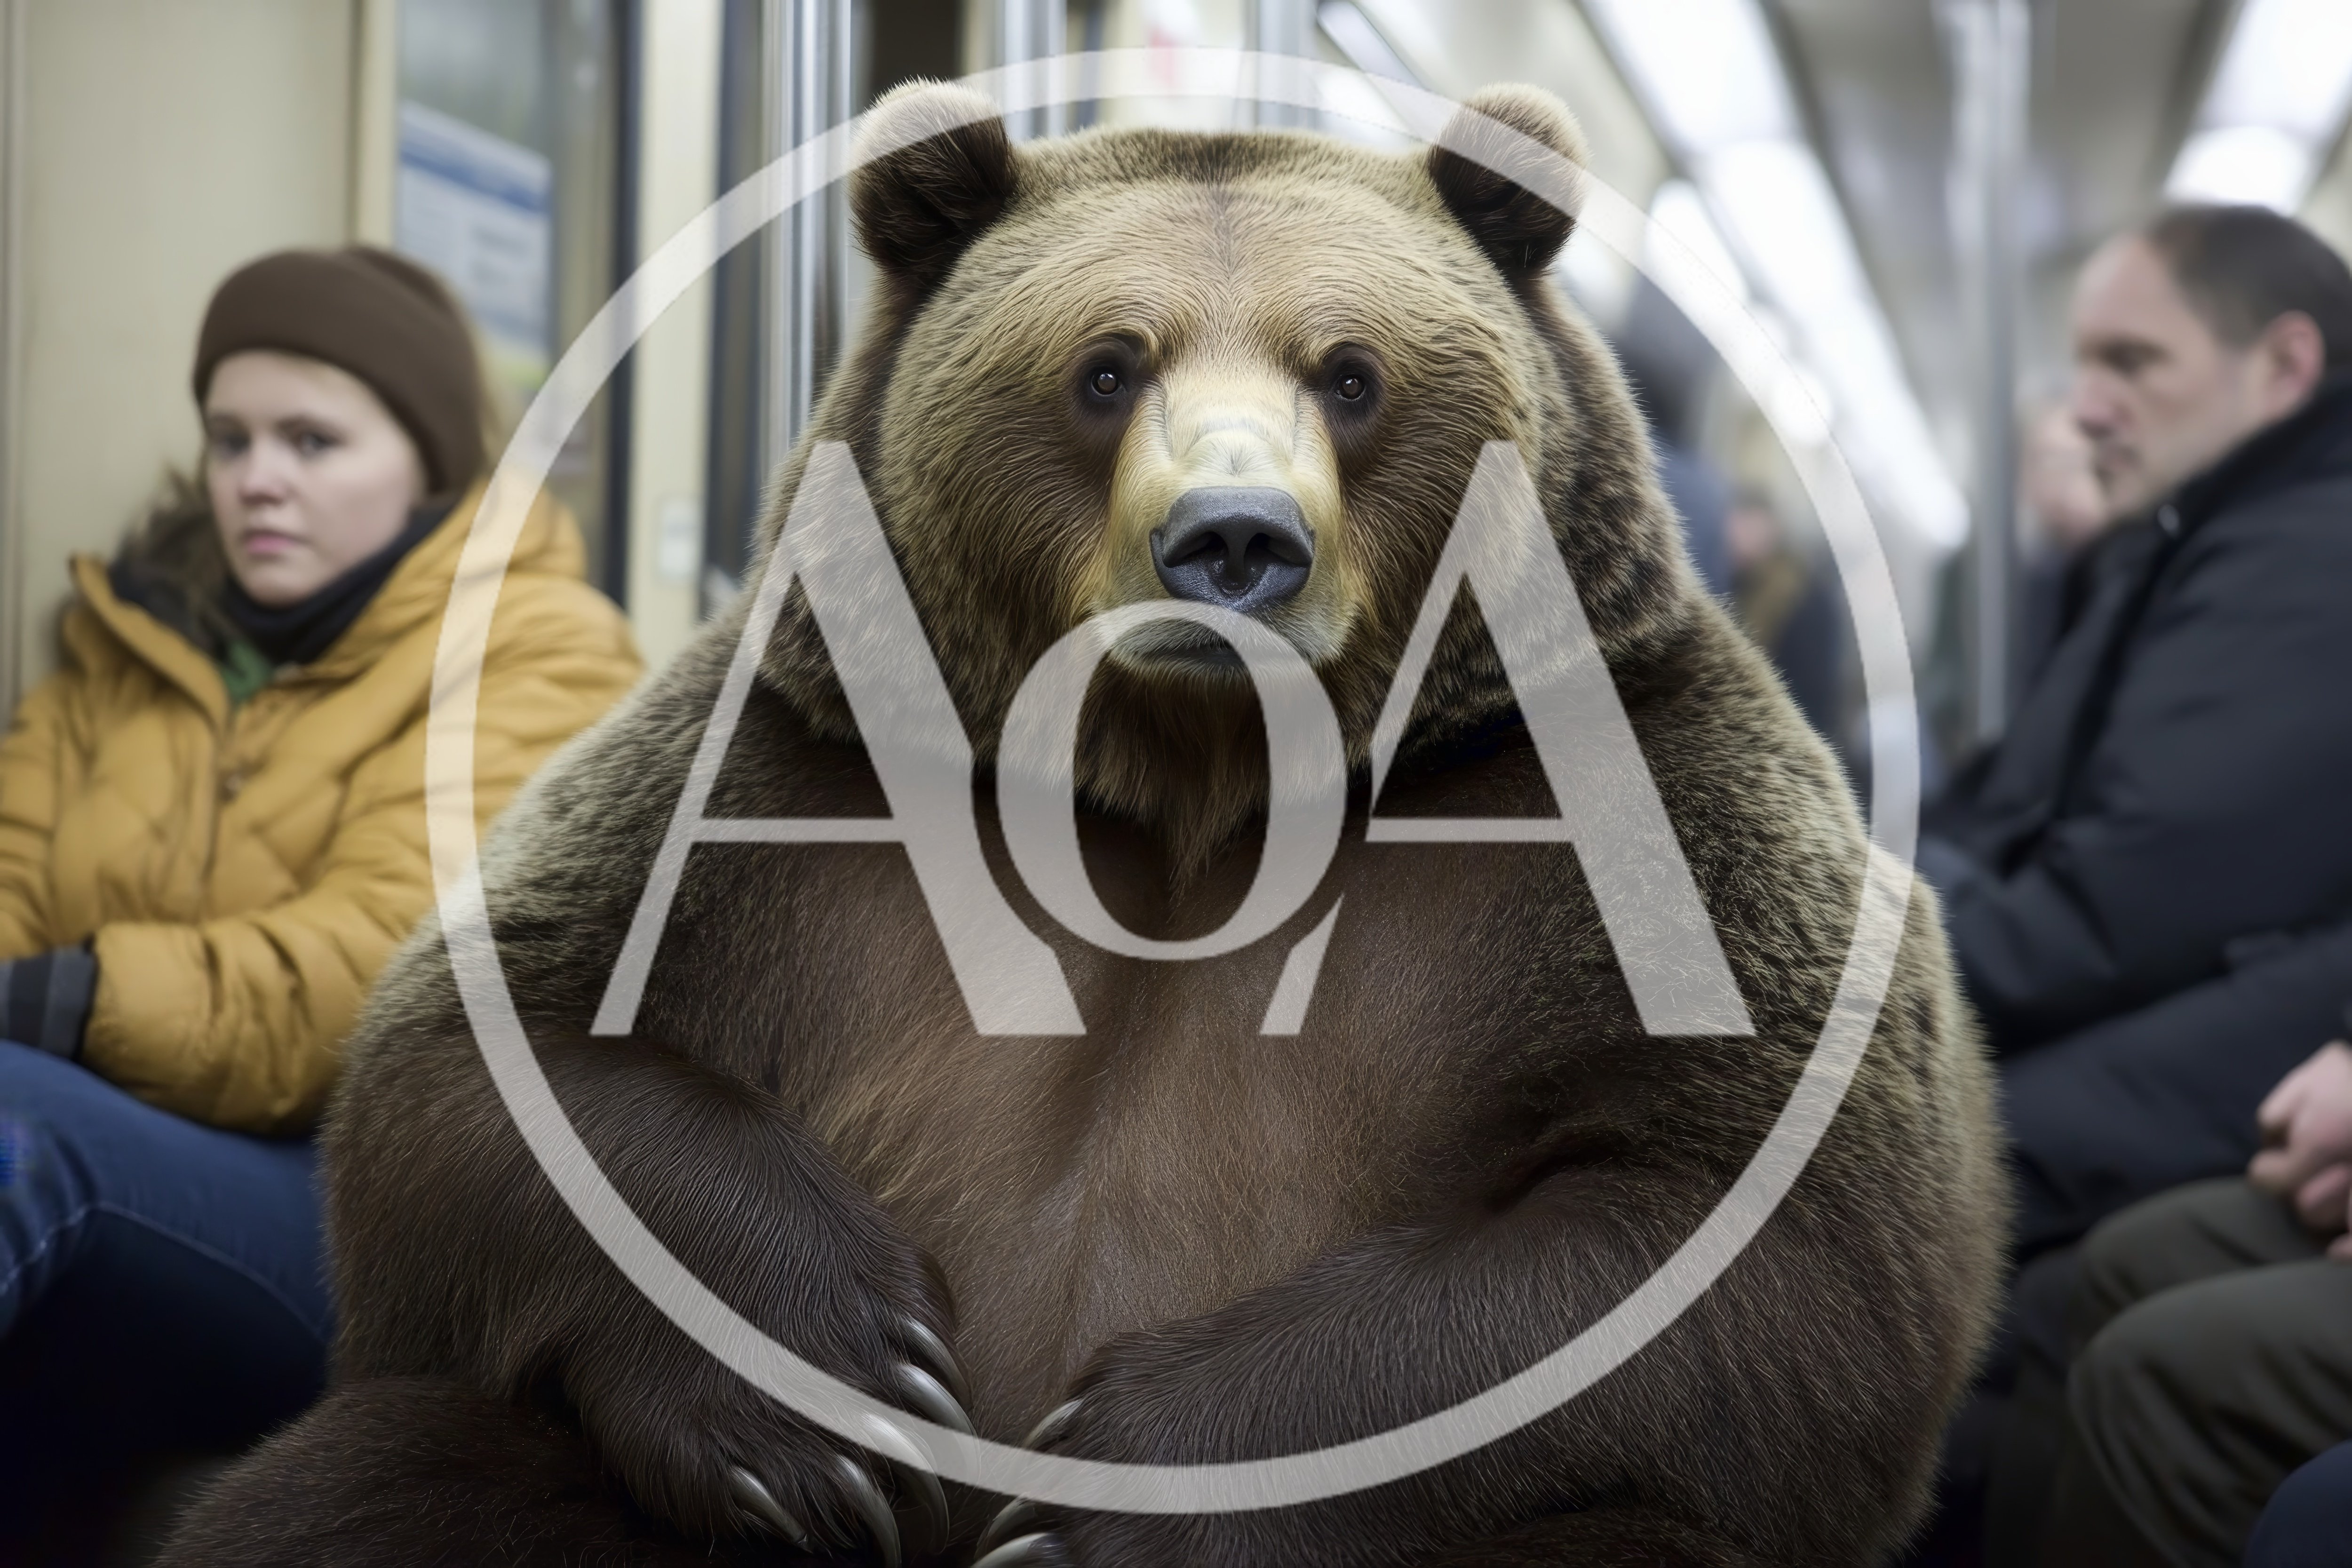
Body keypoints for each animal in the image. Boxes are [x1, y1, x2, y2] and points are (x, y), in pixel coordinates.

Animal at [164, 79, 2001, 1568]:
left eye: (1350, 372)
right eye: (1108, 366)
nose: (1233, 541)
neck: (1193, 786)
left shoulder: (1609, 815)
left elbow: (1761, 1232)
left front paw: (1102, 1493)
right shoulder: (798, 776)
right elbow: (496, 1058)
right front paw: (845, 1406)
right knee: (379, 1479)